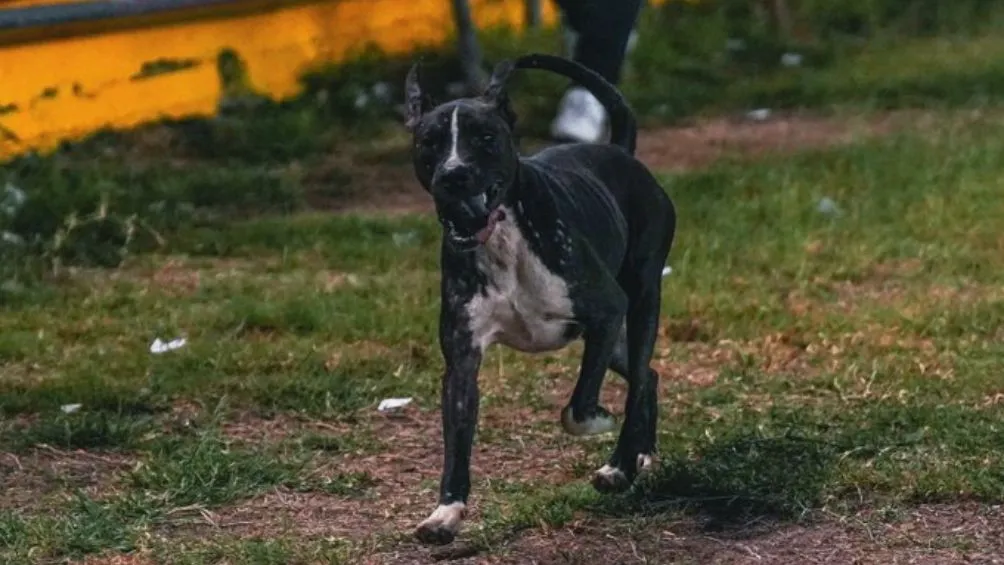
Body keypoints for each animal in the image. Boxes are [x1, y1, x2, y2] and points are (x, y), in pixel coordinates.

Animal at [403, 51, 678, 541]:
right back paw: (640, 452)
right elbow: (457, 442)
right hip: (615, 342)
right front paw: (445, 512)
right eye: (429, 142)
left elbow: (577, 408)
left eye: (486, 137)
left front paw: (602, 426)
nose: (454, 175)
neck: (503, 238)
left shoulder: (606, 310)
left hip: (642, 300)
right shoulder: (462, 360)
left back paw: (620, 467)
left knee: (640, 378)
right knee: (647, 375)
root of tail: (621, 151)